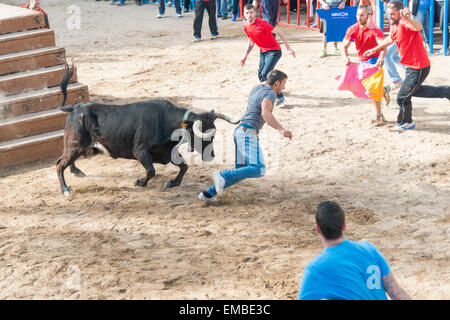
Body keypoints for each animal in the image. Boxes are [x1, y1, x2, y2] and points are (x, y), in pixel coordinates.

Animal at [56, 65, 239, 195]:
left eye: (213, 135)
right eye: (201, 136)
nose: (211, 155)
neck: (165, 122)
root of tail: (76, 107)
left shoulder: (166, 152)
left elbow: (184, 167)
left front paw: (171, 183)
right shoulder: (140, 151)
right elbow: (151, 170)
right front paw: (139, 182)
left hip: (76, 146)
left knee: (65, 161)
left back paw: (76, 171)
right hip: (75, 144)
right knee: (59, 164)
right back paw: (65, 189)